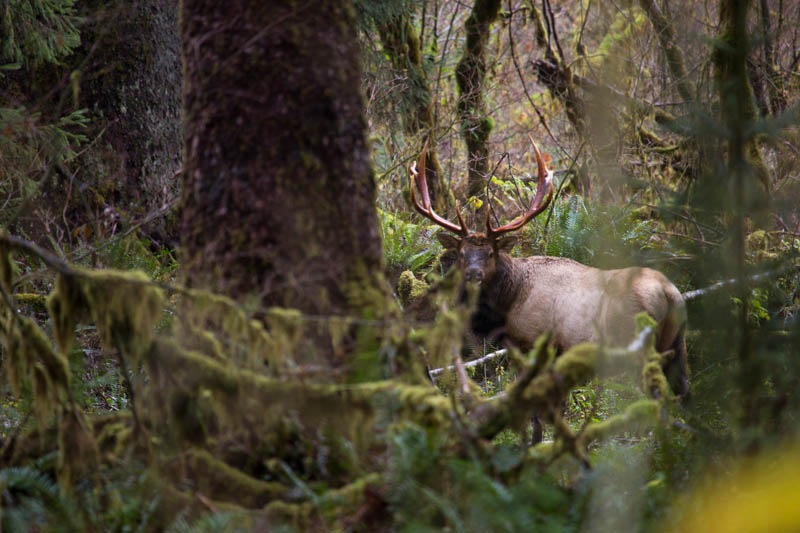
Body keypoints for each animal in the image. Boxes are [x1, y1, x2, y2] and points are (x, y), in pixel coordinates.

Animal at [410, 139, 692, 402]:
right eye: (461, 254)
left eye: (490, 253)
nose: (473, 275)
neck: (509, 304)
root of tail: (670, 293)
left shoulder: (535, 342)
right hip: (677, 347)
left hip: (637, 346)